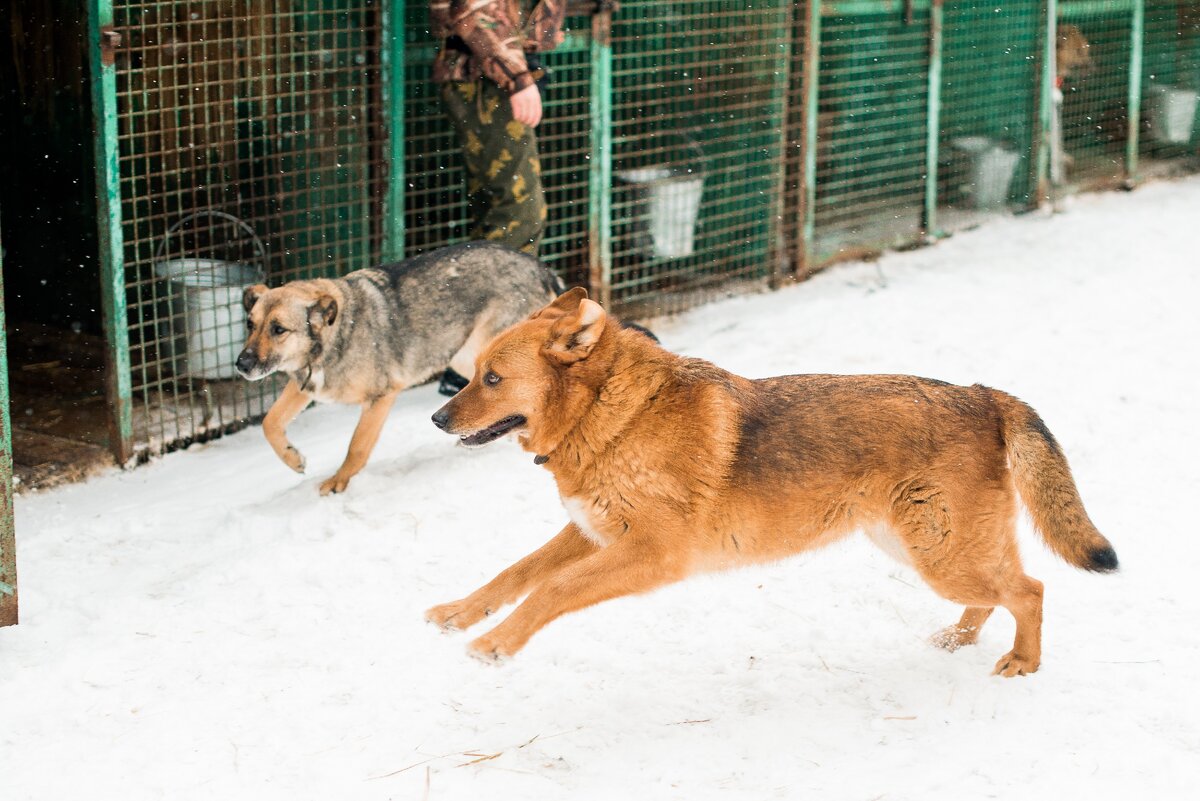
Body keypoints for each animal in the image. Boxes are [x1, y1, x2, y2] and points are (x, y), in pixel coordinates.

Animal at [238, 241, 566, 494]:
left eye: (279, 329)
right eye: (251, 324)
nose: (241, 364)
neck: (334, 336)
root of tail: (542, 268)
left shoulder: (381, 396)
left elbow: (356, 446)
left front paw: (339, 482)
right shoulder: (304, 386)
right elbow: (270, 422)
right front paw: (292, 458)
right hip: (465, 359)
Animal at [429, 287, 1113, 676]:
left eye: (491, 379)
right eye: (475, 373)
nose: (436, 418)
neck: (611, 414)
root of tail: (984, 395)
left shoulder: (649, 554)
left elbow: (550, 590)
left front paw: (496, 645)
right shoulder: (593, 533)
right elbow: (515, 573)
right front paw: (459, 614)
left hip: (940, 554)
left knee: (1030, 590)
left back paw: (1023, 662)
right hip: (924, 548)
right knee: (1003, 591)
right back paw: (956, 639)